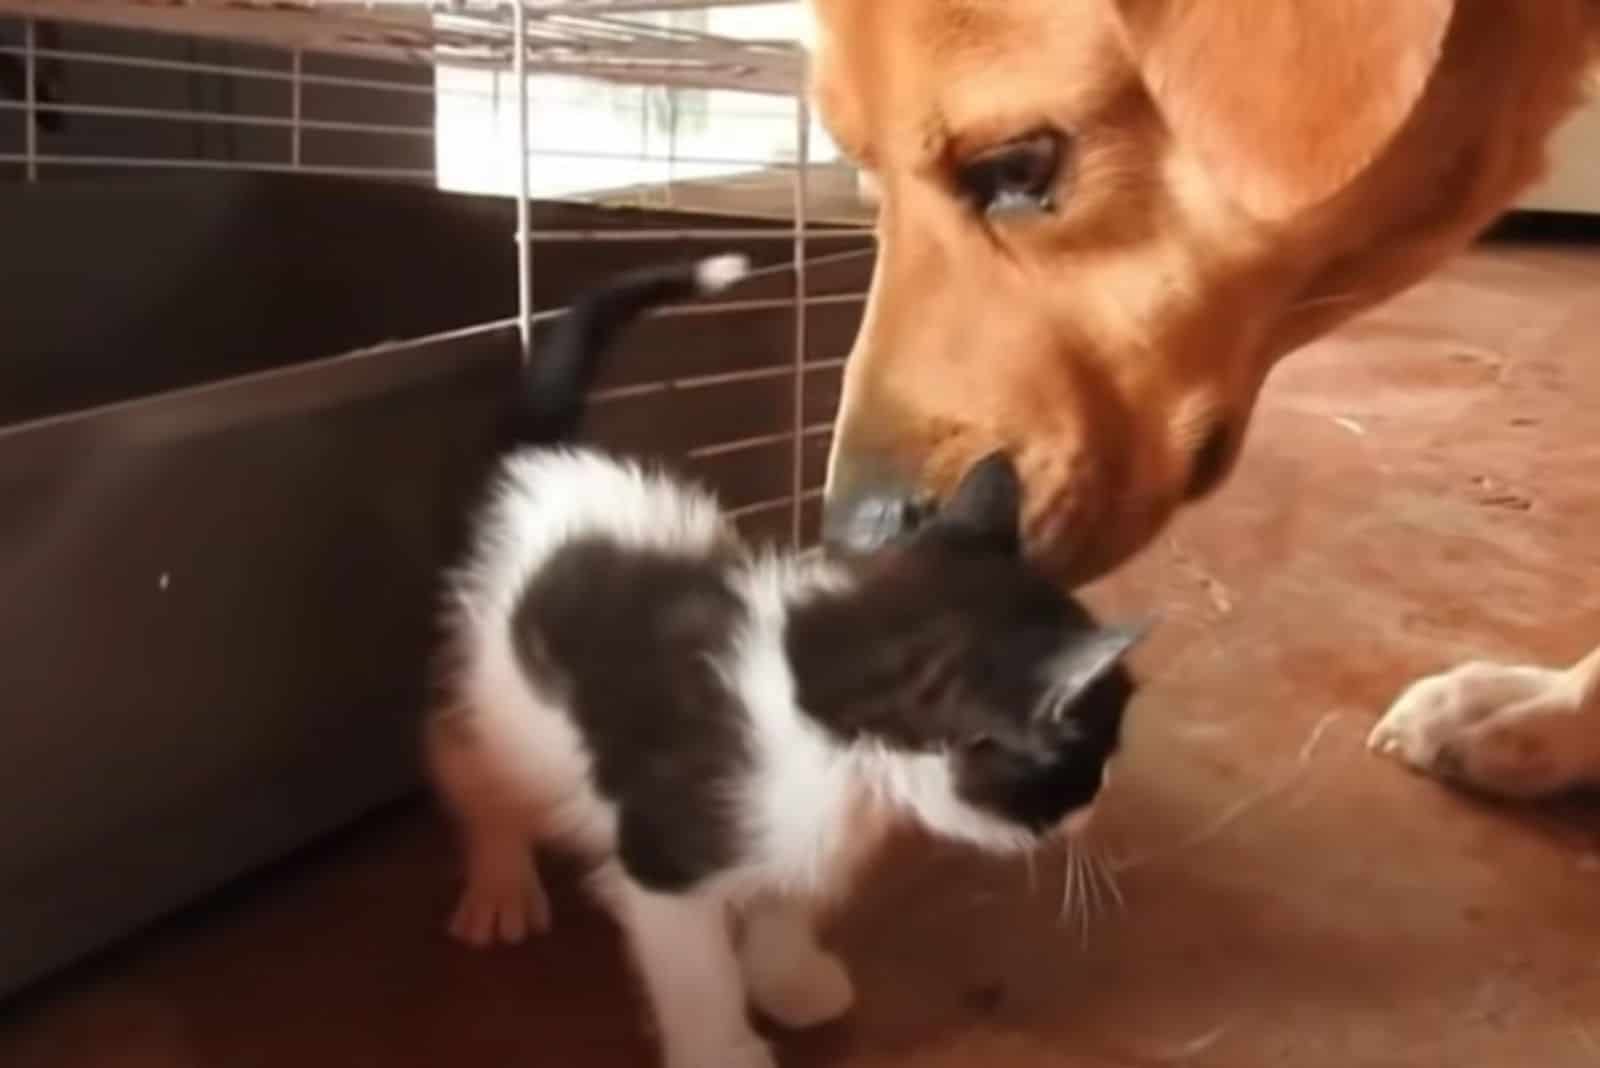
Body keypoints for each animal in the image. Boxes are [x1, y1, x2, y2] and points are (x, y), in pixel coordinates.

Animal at [428, 252, 1152, 1068]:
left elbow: (785, 901)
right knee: (465, 763)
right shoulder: (664, 859)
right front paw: (723, 1048)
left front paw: (792, 981)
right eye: (1087, 760)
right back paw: (500, 885)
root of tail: (542, 459)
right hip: (489, 687)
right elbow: (697, 968)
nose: (1101, 798)